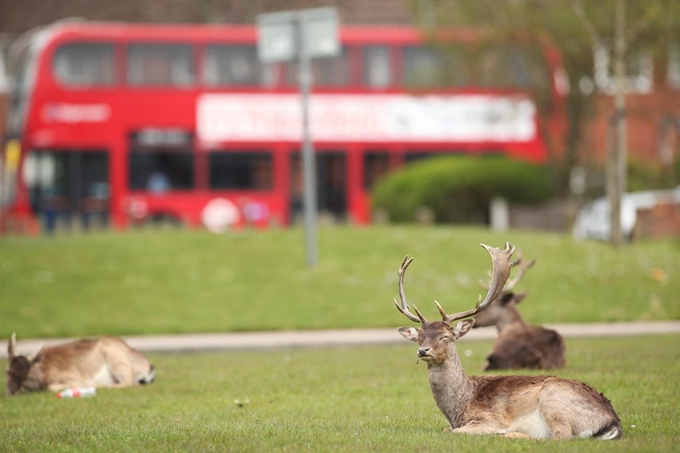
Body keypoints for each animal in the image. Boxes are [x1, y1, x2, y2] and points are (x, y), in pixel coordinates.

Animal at [6, 332, 155, 396]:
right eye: (7, 371)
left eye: (26, 374)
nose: (11, 391)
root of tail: (150, 367)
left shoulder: (71, 376)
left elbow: (52, 387)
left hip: (116, 360)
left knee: (129, 382)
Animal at [394, 244, 620, 438]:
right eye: (419, 337)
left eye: (445, 336)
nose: (423, 351)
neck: (460, 408)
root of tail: (613, 421)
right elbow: (446, 429)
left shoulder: (489, 417)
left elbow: (453, 432)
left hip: (553, 397)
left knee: (560, 436)